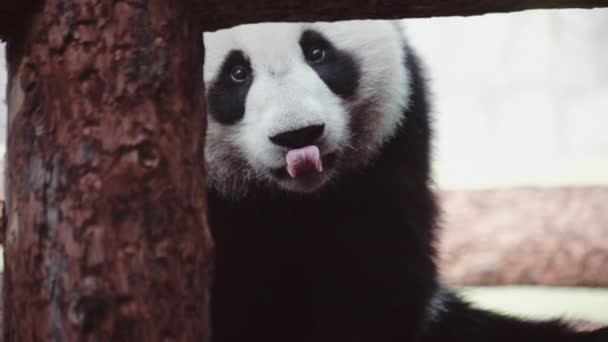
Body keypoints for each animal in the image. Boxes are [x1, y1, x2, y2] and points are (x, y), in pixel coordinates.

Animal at [201, 20, 608, 340]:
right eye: (237, 72)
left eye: (317, 52)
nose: (299, 136)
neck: (294, 197)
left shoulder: (388, 157)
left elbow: (379, 290)